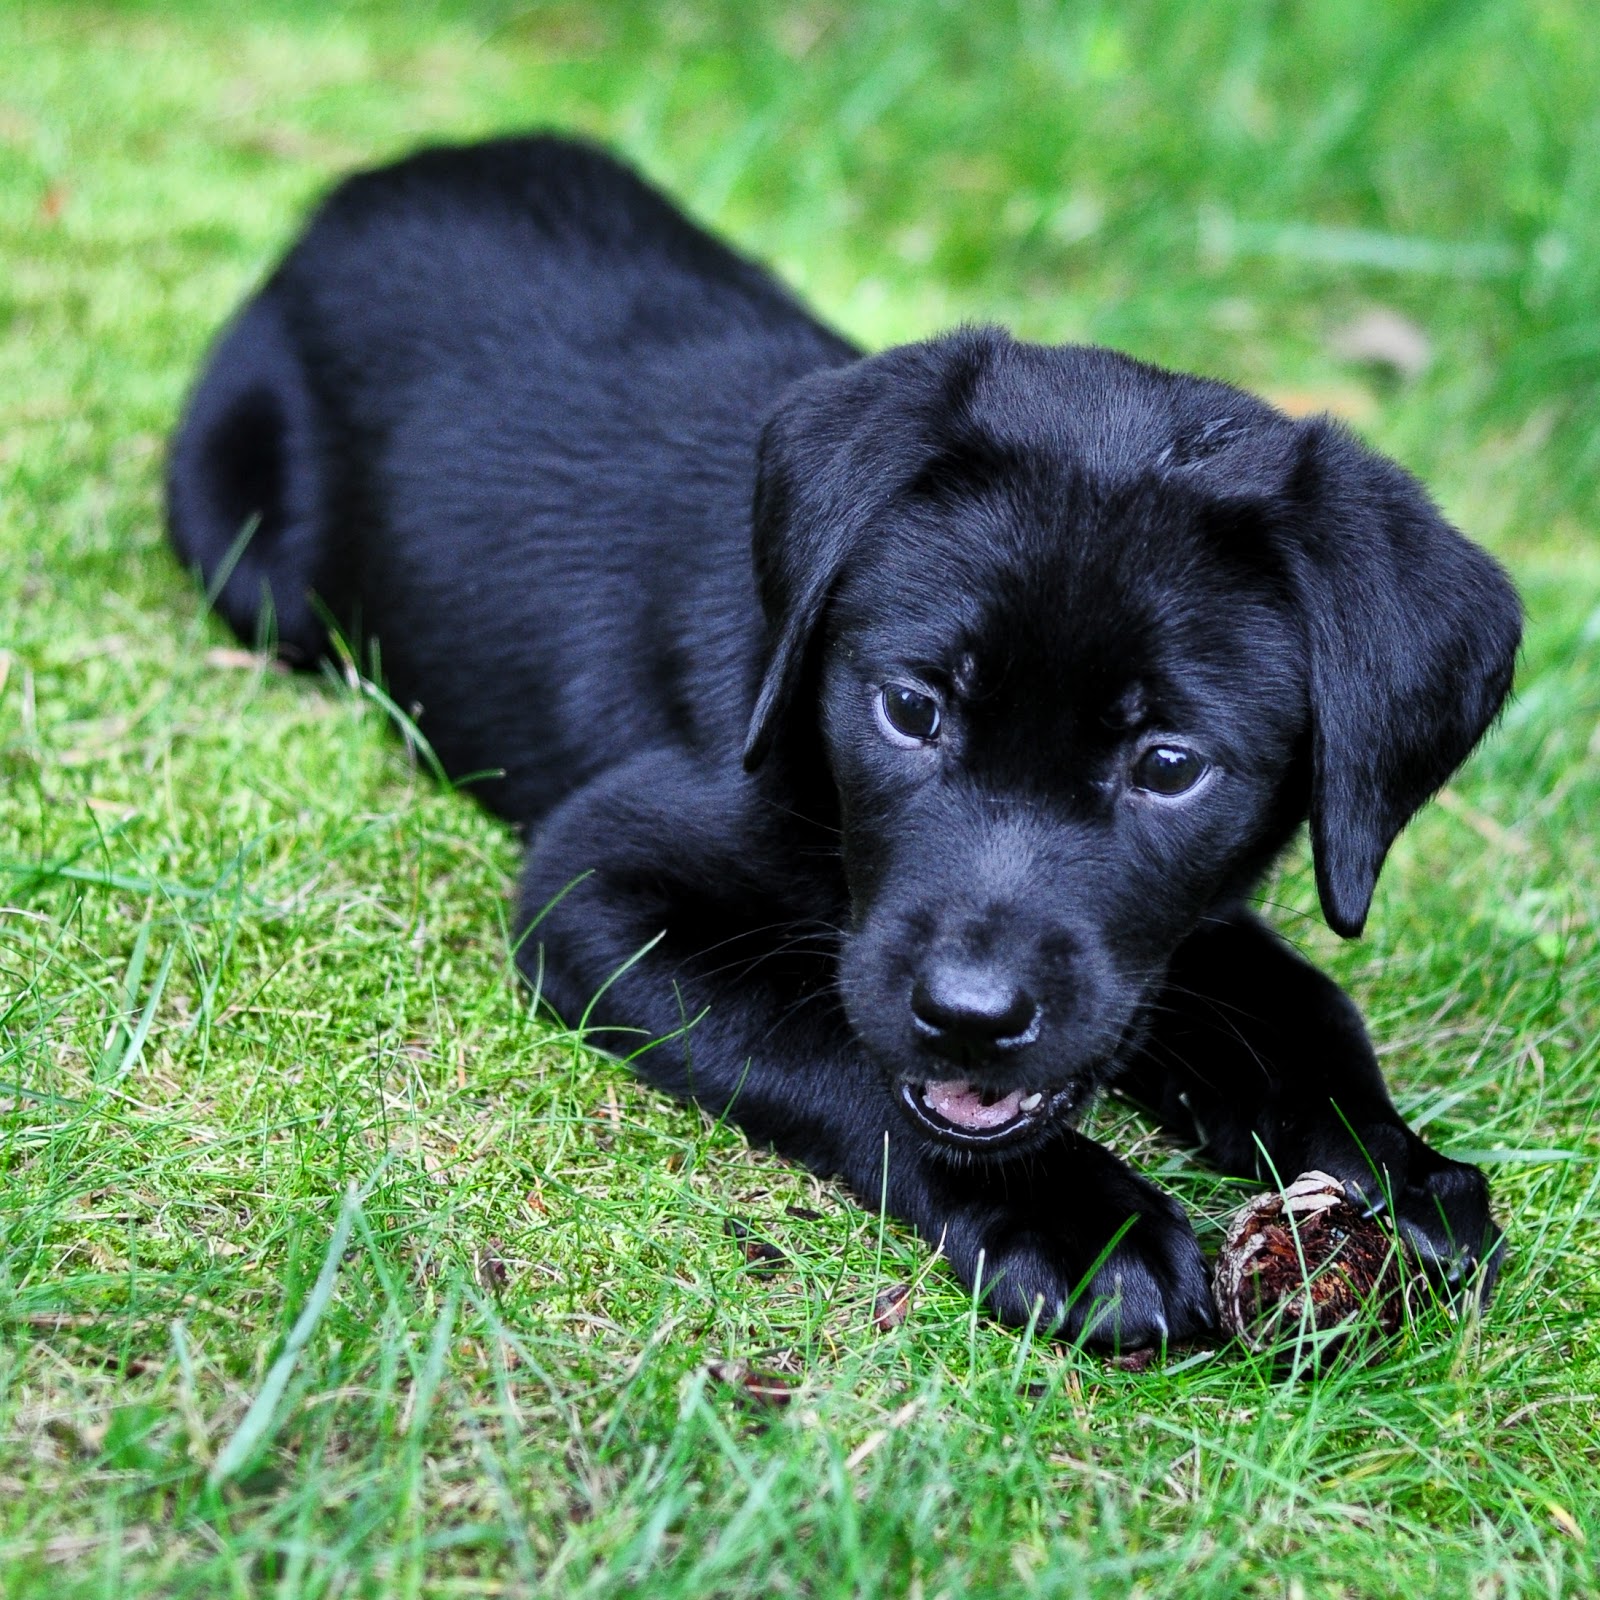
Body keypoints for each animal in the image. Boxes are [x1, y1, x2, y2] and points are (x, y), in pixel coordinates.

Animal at [168, 134, 1516, 1350]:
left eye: (1170, 767)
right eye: (909, 711)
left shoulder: (1183, 926)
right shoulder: (597, 881)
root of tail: (368, 185)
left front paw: (1399, 1167)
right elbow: (838, 1048)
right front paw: (1079, 1222)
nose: (970, 1016)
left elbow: (1302, 1001)